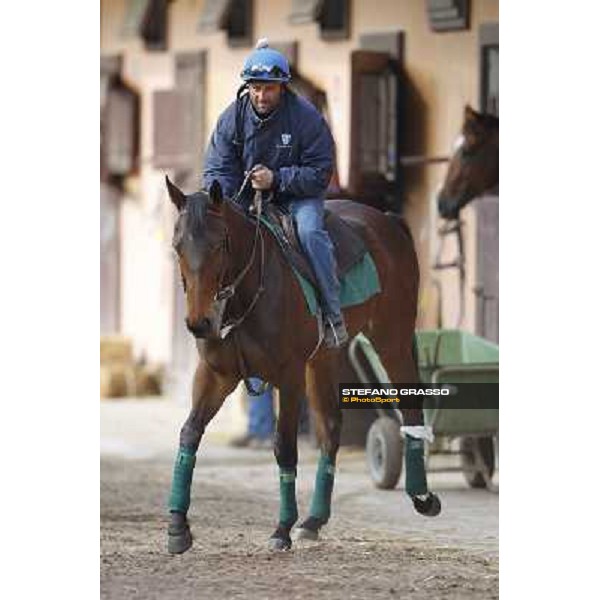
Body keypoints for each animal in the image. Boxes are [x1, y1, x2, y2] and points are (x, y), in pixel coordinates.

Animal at [165, 178, 440, 552]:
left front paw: (281, 528)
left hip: (391, 339)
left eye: (219, 244)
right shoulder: (216, 375)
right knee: (330, 428)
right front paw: (177, 525)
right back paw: (313, 520)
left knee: (410, 407)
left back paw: (422, 496)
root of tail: (387, 220)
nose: (199, 322)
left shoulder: (289, 377)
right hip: (324, 358)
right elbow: (190, 433)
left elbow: (284, 445)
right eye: (177, 245)